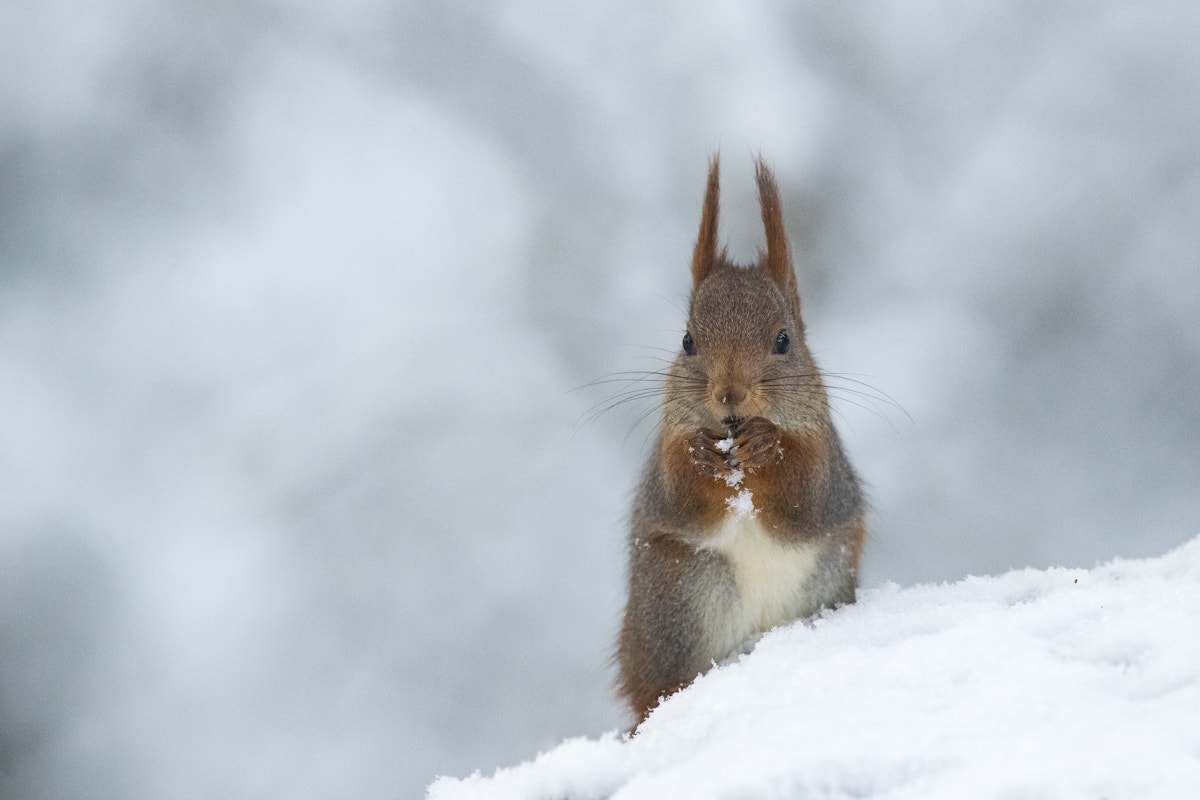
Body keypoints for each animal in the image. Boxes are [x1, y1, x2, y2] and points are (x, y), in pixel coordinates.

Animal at [614, 155, 868, 724]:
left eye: (784, 341)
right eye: (687, 341)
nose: (730, 396)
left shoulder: (829, 468)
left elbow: (804, 500)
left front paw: (768, 444)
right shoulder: (663, 473)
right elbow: (681, 498)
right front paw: (700, 455)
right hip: (679, 603)